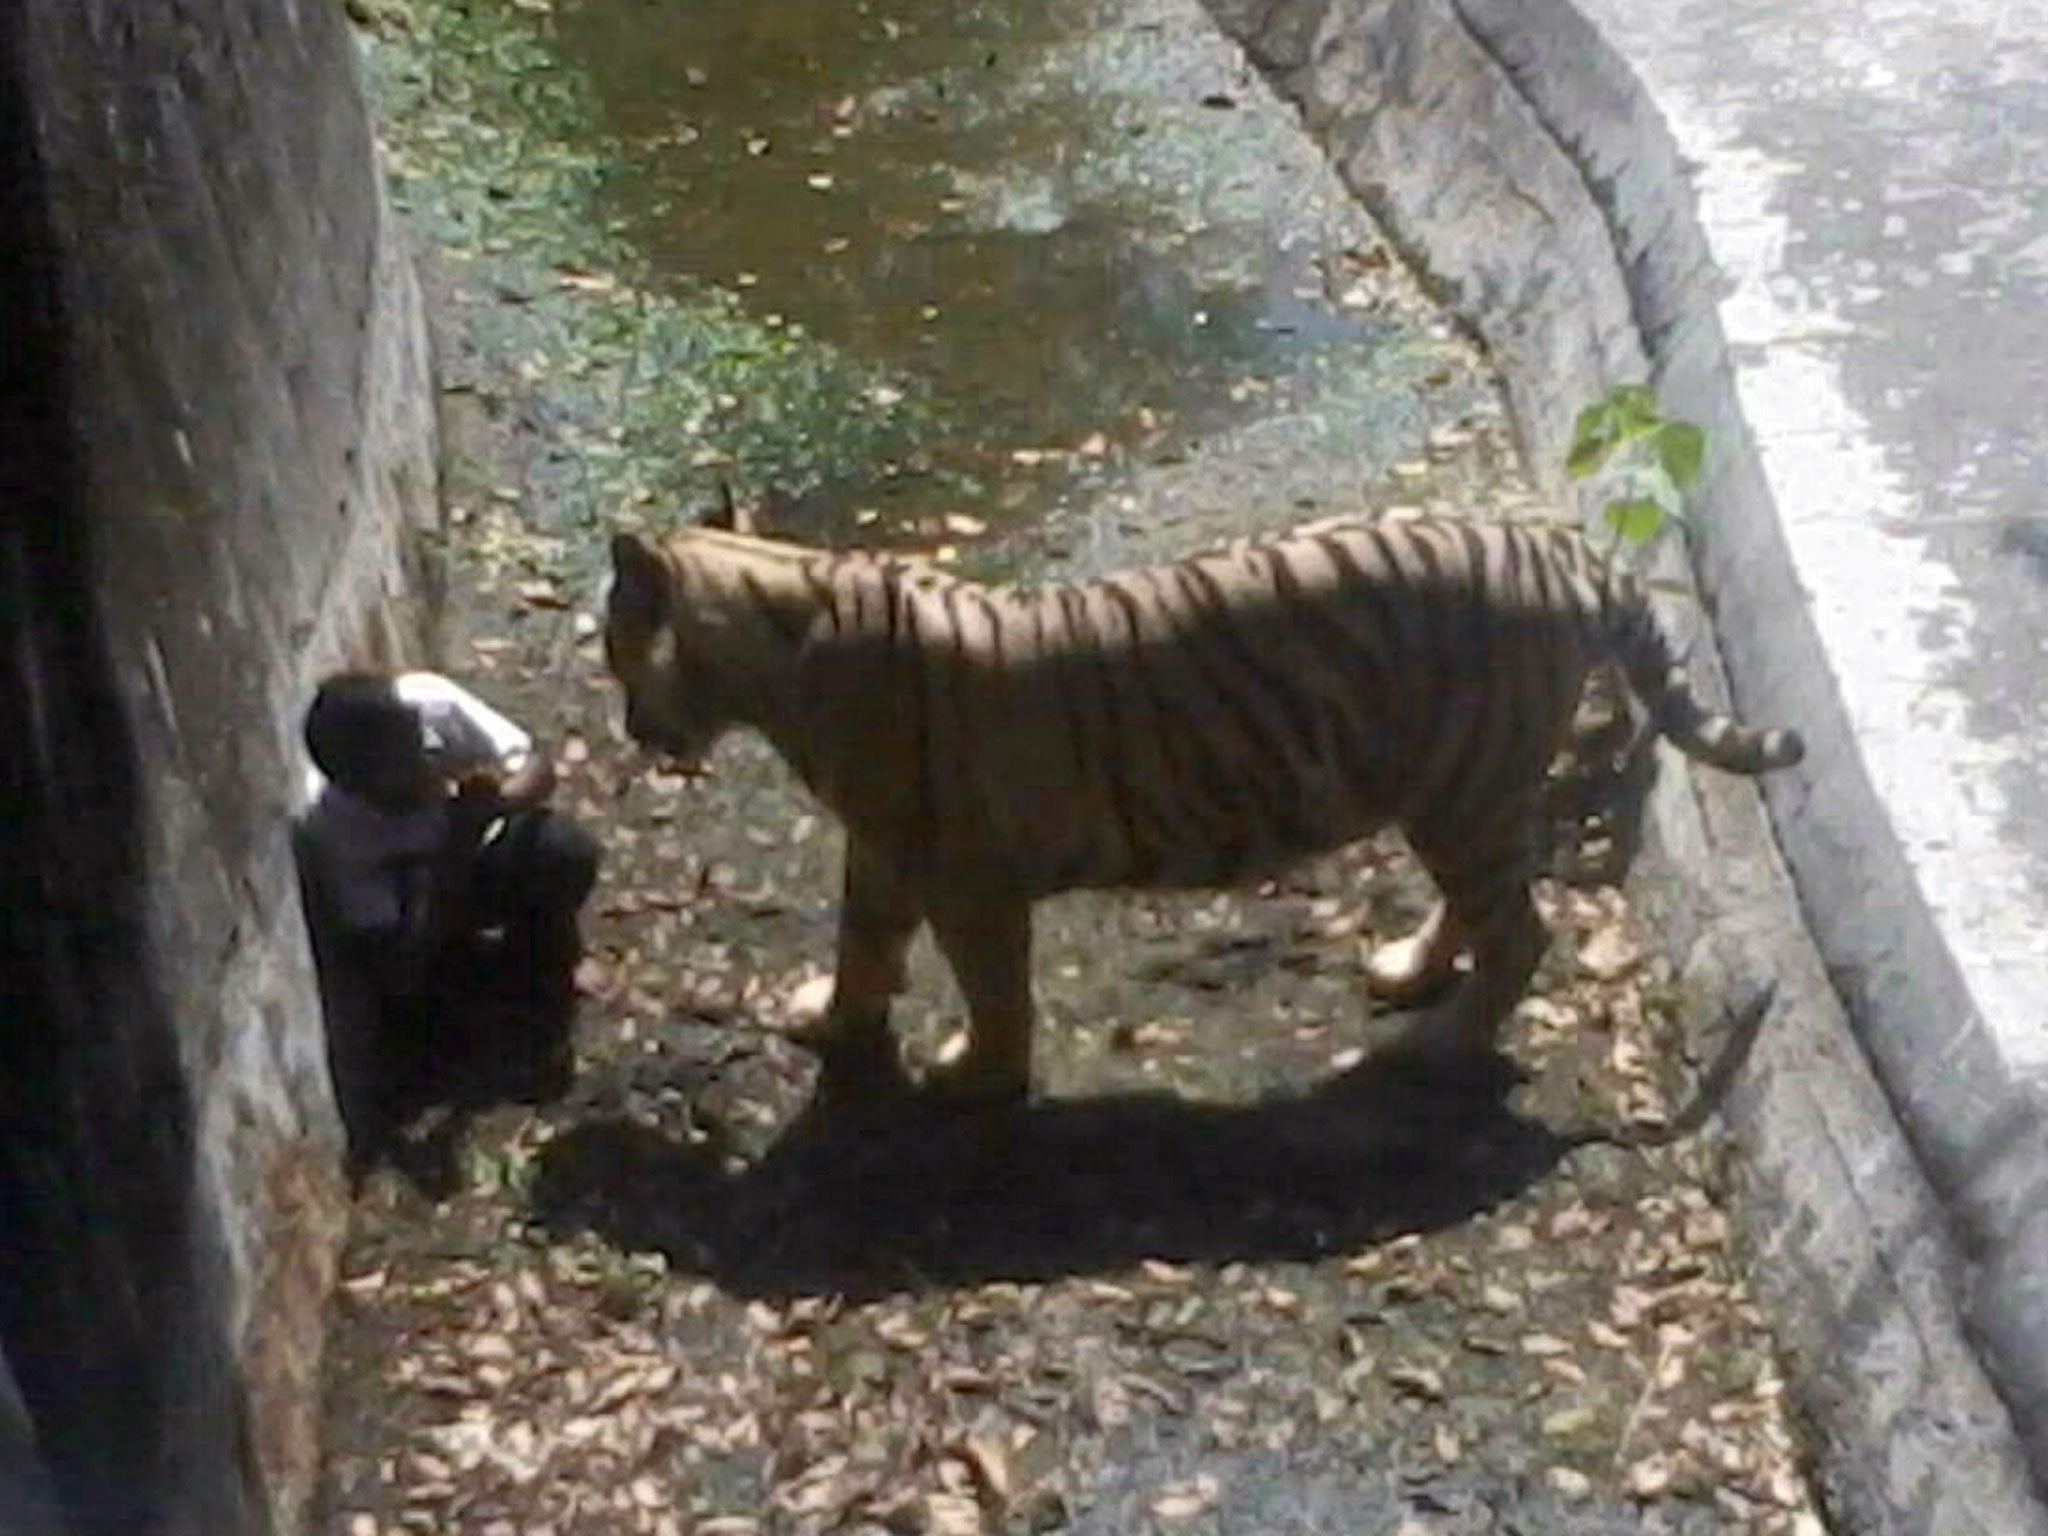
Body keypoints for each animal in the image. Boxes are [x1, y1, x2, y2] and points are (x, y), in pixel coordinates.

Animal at [598, 505, 1802, 1122]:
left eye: (612, 643)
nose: (624, 724)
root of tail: (1566, 546)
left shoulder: (966, 878)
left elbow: (993, 991)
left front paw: (973, 1077)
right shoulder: (887, 852)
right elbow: (862, 945)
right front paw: (832, 1021)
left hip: (1464, 789)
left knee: (1524, 929)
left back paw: (1437, 1042)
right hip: (1450, 795)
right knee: (1483, 909)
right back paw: (1409, 972)